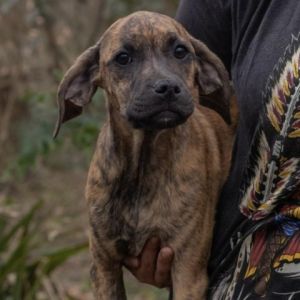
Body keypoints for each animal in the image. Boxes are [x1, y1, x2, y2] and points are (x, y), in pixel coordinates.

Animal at [55, 10, 236, 298]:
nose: (168, 88)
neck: (143, 164)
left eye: (180, 51)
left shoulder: (188, 272)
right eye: (123, 58)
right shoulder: (103, 266)